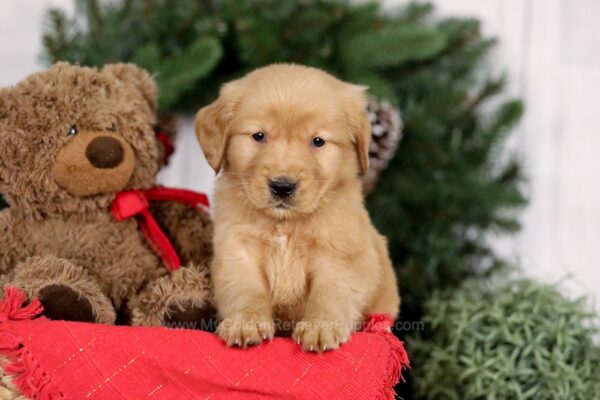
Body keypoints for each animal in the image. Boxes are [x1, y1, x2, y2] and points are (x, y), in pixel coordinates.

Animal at [196, 64, 398, 352]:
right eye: (259, 136)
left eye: (318, 141)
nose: (282, 186)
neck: (284, 224)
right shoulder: (238, 252)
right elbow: (245, 290)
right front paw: (246, 322)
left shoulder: (342, 256)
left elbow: (329, 294)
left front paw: (320, 327)